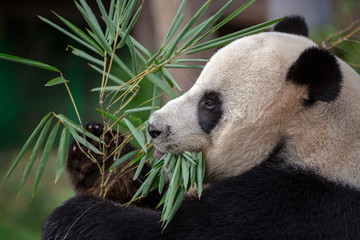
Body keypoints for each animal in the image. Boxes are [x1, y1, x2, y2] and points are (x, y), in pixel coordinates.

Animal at [40, 15, 360, 239]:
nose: (154, 128)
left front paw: (72, 217)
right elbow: (160, 195)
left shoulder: (305, 204)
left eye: (209, 103)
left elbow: (177, 229)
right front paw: (99, 156)